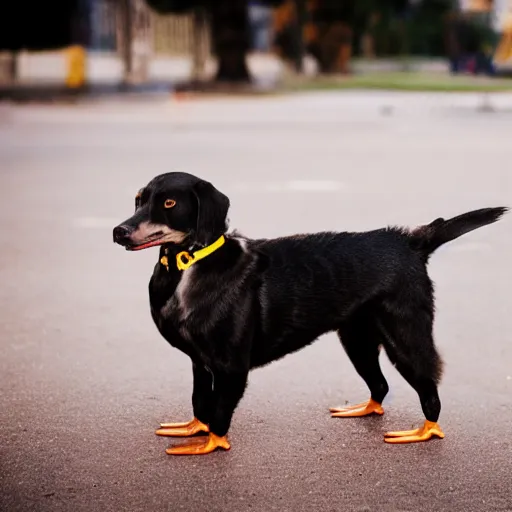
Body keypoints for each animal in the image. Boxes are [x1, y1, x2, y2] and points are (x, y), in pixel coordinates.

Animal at [113, 173, 508, 456]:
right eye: (139, 199)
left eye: (169, 202)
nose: (119, 231)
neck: (188, 266)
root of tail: (411, 240)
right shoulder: (200, 361)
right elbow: (200, 401)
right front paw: (194, 428)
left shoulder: (231, 367)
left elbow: (220, 411)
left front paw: (210, 442)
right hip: (357, 340)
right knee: (380, 386)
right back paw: (366, 408)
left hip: (405, 338)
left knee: (429, 389)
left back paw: (424, 430)